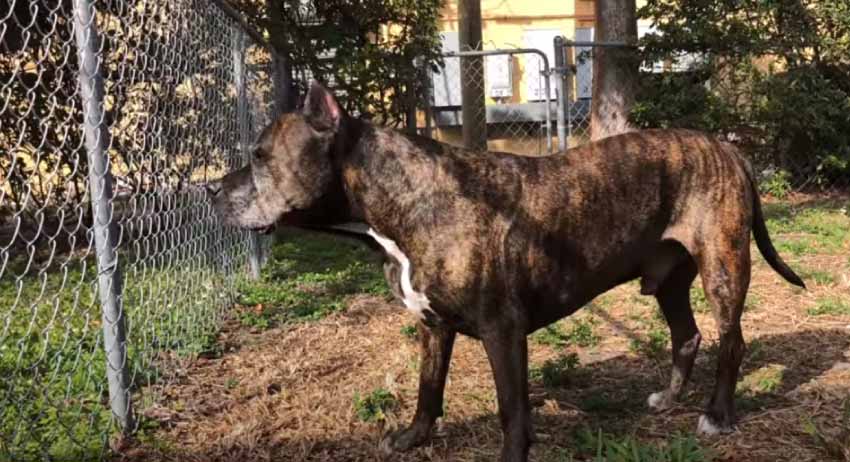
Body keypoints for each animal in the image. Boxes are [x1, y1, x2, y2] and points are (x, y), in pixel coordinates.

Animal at [205, 81, 800, 460]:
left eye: (260, 156)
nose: (210, 189)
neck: (405, 202)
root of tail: (727, 147)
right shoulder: (433, 328)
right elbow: (428, 391)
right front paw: (413, 439)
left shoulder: (503, 332)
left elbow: (512, 411)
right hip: (669, 279)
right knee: (686, 333)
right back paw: (669, 398)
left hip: (723, 266)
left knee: (731, 339)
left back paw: (717, 414)